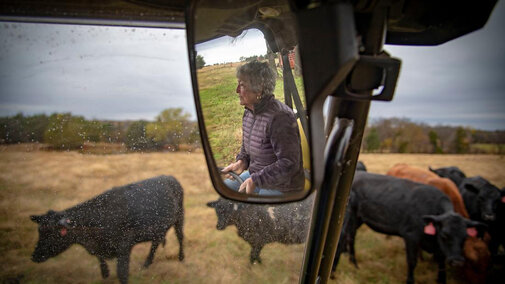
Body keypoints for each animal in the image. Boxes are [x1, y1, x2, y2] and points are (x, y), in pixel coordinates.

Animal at [30, 175, 183, 284]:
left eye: (53, 233)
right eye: (40, 231)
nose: (34, 256)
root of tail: (169, 177)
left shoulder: (124, 246)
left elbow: (122, 273)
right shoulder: (99, 246)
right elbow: (101, 259)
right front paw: (105, 273)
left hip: (179, 217)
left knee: (180, 237)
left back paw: (181, 258)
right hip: (158, 228)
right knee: (155, 243)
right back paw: (147, 263)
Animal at [330, 171, 484, 284]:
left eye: (465, 237)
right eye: (445, 235)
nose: (457, 262)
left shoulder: (438, 247)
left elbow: (441, 265)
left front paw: (441, 280)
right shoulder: (411, 236)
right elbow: (412, 262)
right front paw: (410, 281)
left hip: (358, 219)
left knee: (351, 238)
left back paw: (354, 264)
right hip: (349, 217)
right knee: (342, 240)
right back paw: (333, 273)